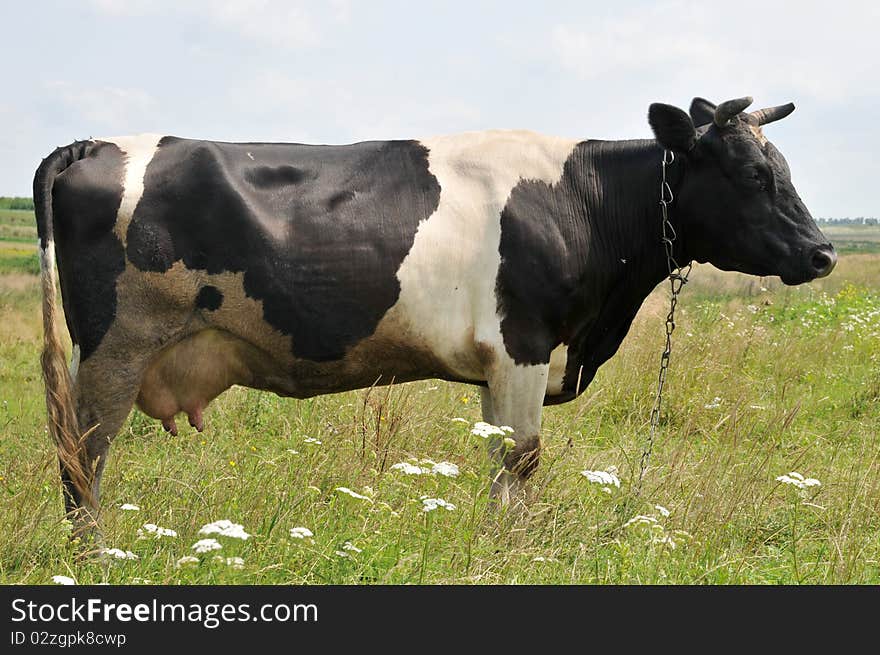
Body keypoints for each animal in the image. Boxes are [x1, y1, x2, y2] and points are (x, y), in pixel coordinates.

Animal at [32, 97, 832, 540]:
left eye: (785, 169)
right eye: (752, 174)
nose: (822, 252)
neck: (580, 198)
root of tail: (97, 143)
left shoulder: (504, 364)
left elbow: (502, 459)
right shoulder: (523, 343)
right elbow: (522, 458)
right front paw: (514, 548)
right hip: (115, 348)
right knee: (82, 457)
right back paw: (93, 558)